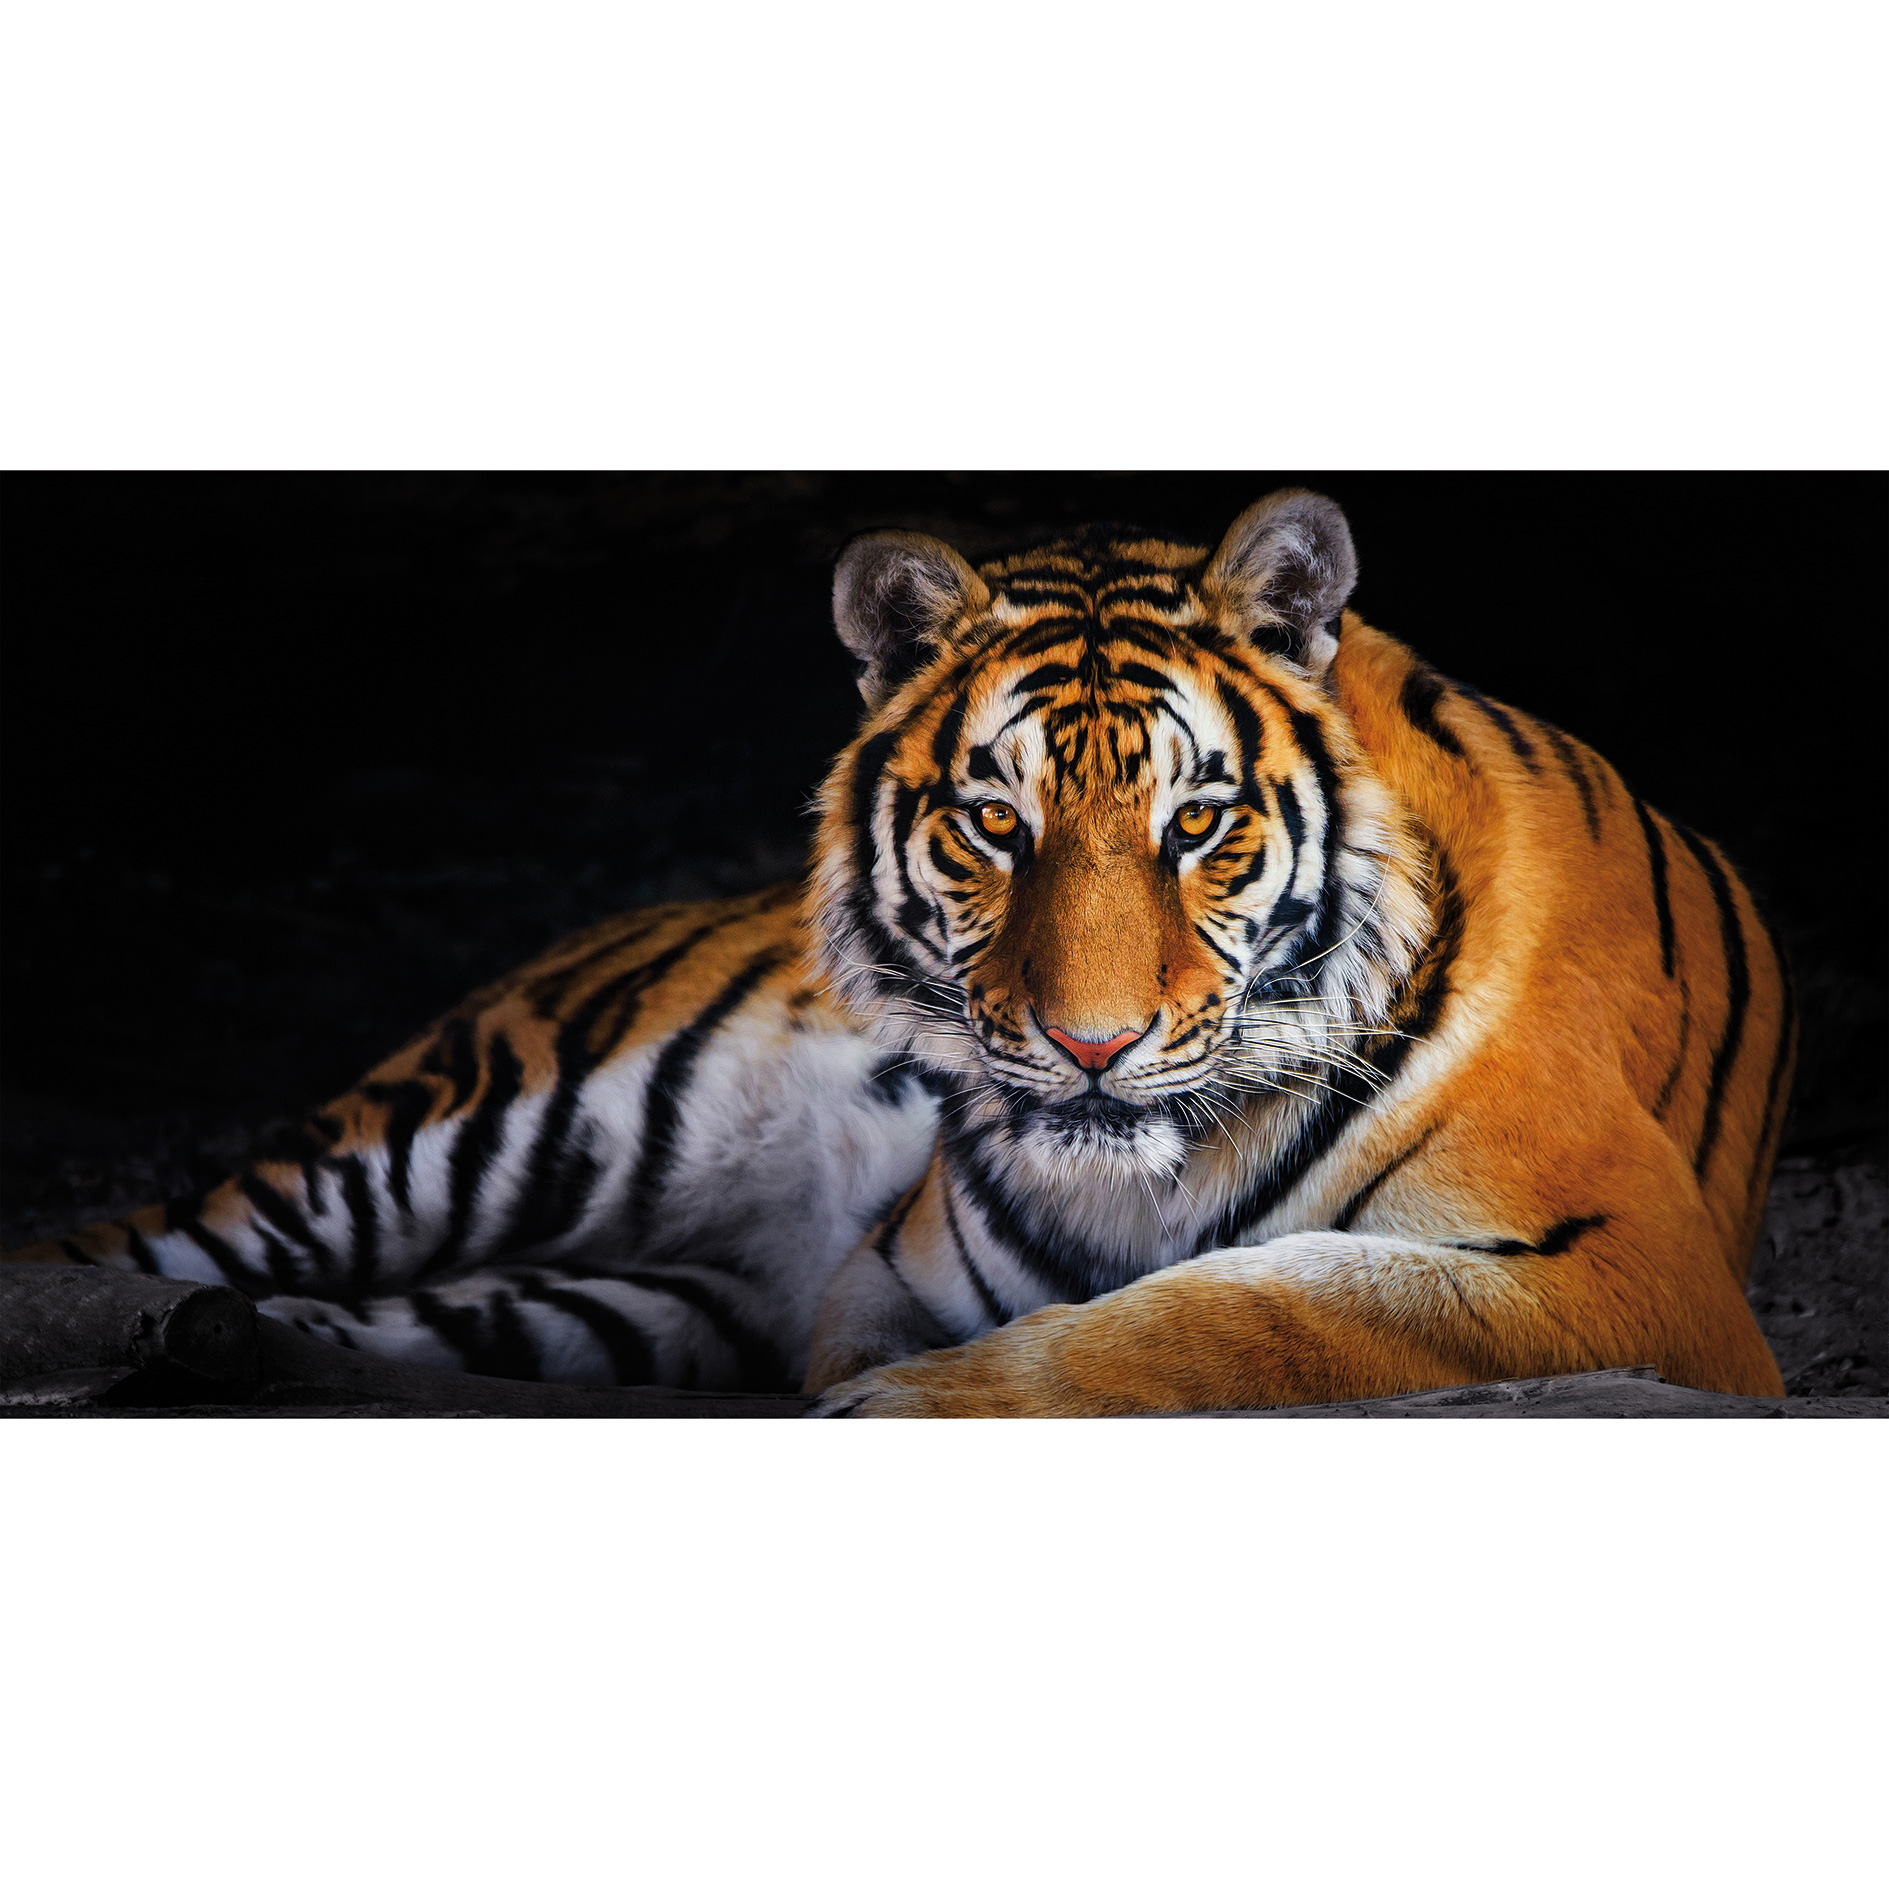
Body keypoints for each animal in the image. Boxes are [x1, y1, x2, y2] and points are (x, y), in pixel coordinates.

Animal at [6, 490, 1794, 1415]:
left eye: (1195, 823)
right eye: (995, 823)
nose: (1090, 1047)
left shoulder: (1630, 1266)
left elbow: (1242, 1308)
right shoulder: (891, 1263)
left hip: (594, 1306)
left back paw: (225, 1357)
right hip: (487, 1131)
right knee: (103, 1239)